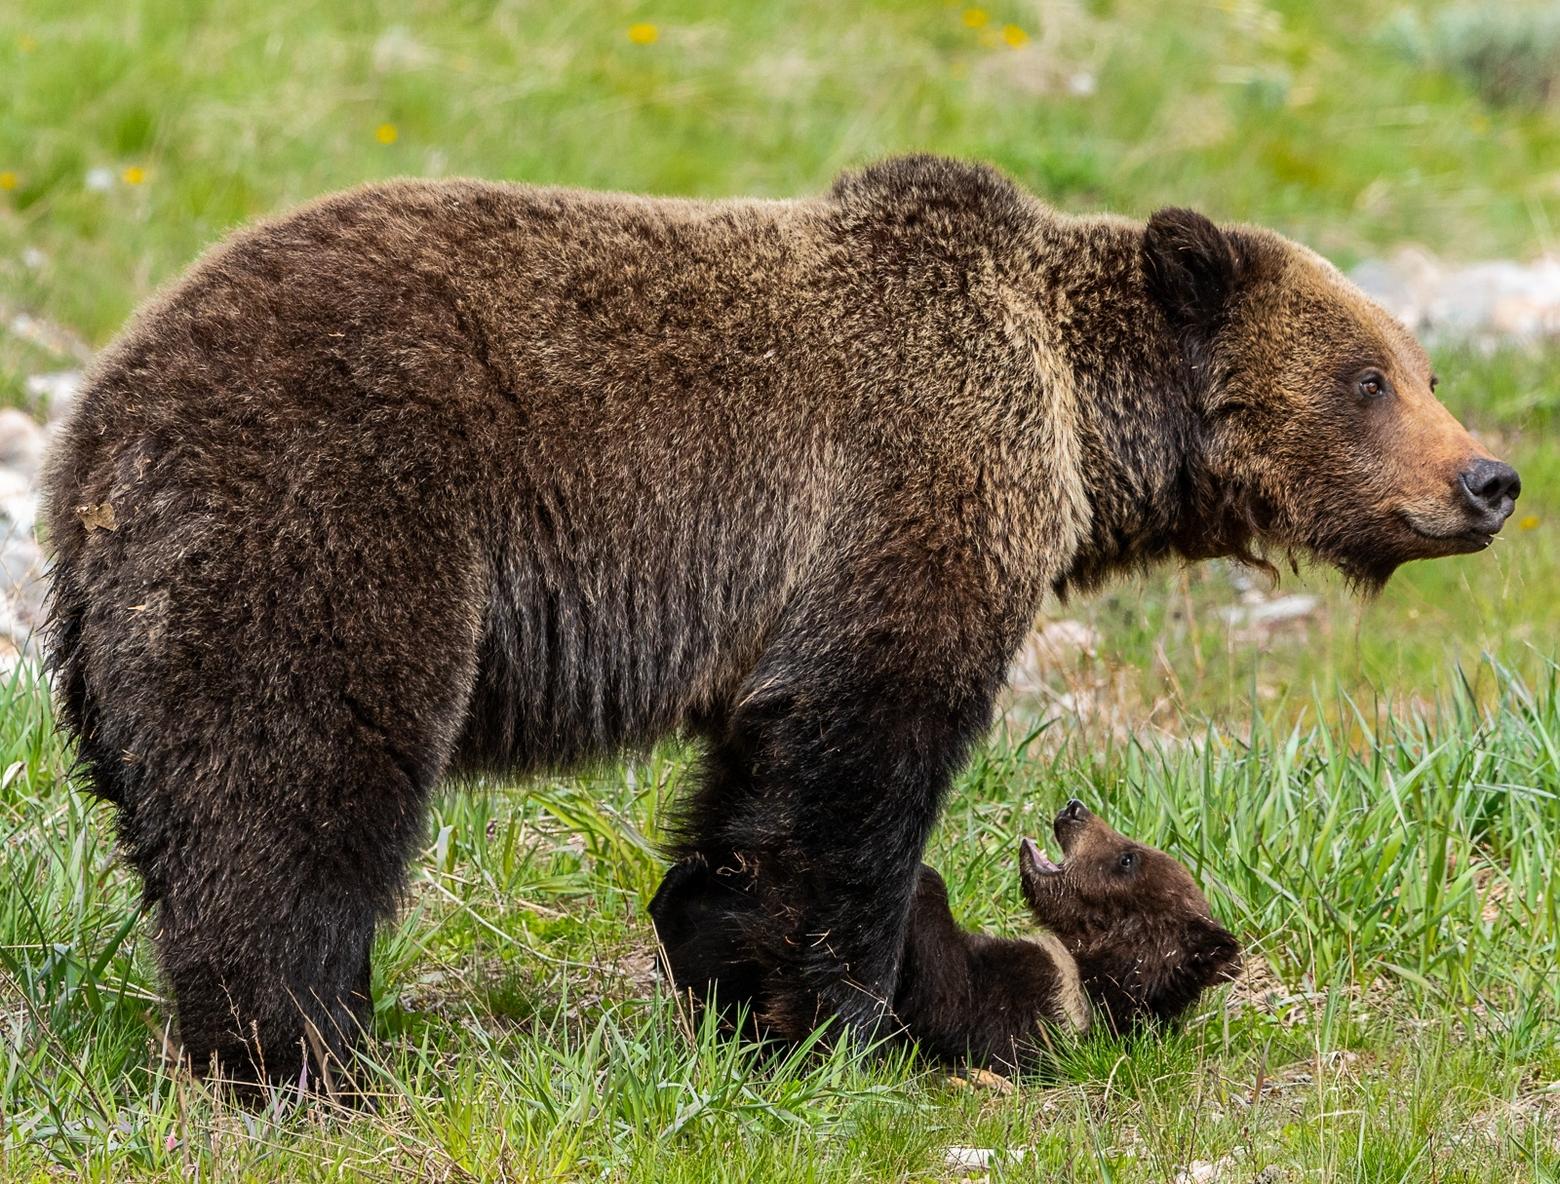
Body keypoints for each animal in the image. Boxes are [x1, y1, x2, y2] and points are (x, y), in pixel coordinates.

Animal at [652, 795, 1235, 1073]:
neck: (1088, 967)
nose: (1074, 808)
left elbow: (945, 991)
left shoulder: (1036, 1008)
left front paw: (916, 878)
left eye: (1128, 856)